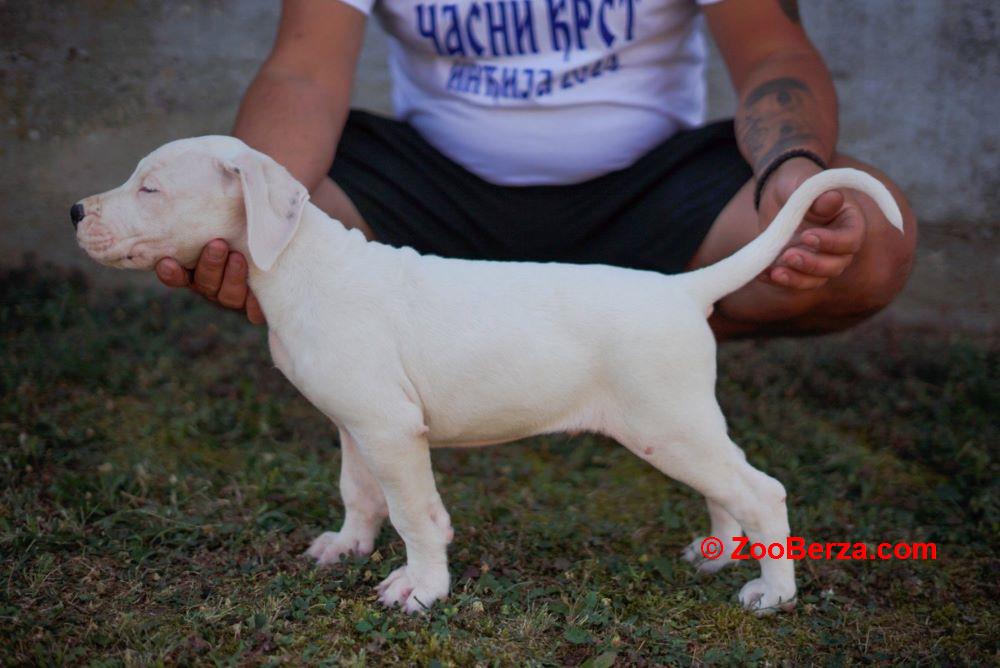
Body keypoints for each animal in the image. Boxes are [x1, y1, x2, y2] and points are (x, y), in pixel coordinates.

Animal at [76, 137, 908, 616]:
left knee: (761, 490)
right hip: (679, 426)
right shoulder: (357, 423)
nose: (76, 210)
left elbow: (417, 515)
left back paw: (773, 594)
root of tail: (681, 289)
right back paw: (718, 553)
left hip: (667, 422)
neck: (300, 262)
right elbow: (360, 493)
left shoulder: (392, 429)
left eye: (151, 187)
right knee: (728, 487)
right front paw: (347, 547)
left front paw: (420, 589)